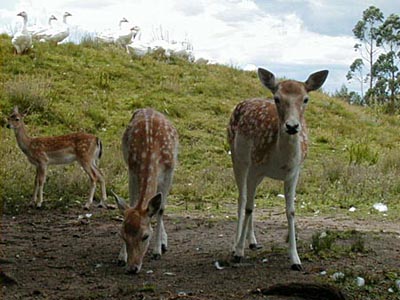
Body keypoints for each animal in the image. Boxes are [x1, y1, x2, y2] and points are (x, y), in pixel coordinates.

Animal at [110, 108, 177, 274]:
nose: (132, 268)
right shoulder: (132, 170)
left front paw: (157, 252)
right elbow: (133, 203)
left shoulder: (169, 172)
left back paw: (163, 243)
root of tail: (147, 109)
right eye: (121, 234)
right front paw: (121, 257)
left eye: (145, 236)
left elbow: (161, 209)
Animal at [228, 67, 328, 270]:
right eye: (277, 98)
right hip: (237, 157)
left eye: (306, 99)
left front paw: (296, 260)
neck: (280, 160)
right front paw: (238, 253)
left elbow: (291, 211)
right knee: (242, 200)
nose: (292, 126)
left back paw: (253, 242)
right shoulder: (255, 166)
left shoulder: (293, 173)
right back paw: (235, 246)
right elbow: (249, 207)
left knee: (249, 200)